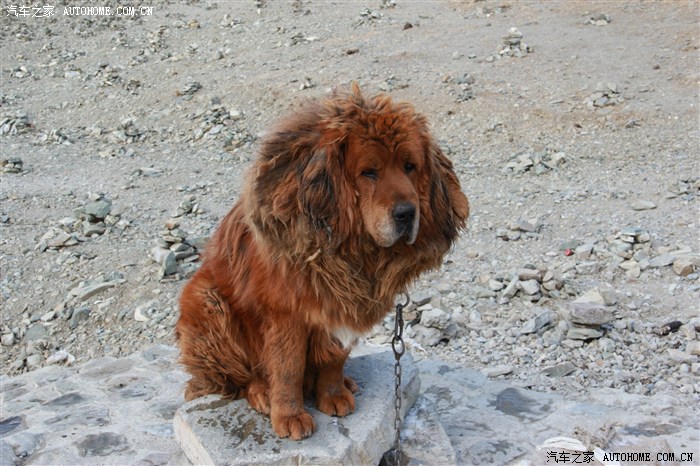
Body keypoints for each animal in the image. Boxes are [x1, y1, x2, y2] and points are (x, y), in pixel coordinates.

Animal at [175, 83, 469, 440]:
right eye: (369, 172)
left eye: (410, 167)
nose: (406, 213)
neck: (351, 251)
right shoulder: (286, 314)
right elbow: (287, 368)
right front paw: (289, 415)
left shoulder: (342, 307)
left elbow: (334, 358)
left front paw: (333, 393)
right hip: (207, 302)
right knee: (238, 376)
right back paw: (262, 392)